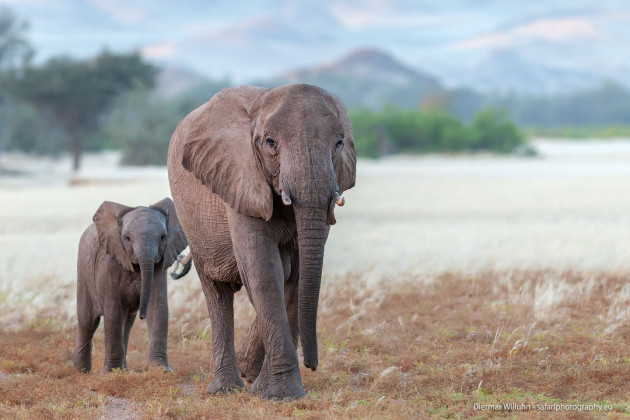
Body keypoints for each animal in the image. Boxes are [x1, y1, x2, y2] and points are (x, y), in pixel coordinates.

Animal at [72, 199, 188, 372]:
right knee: (88, 322)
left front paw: (162, 370)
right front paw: (111, 373)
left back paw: (124, 369)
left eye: (163, 237)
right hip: (83, 271)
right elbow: (113, 312)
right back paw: (80, 370)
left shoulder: (159, 266)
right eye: (127, 238)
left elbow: (158, 307)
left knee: (126, 324)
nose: (142, 315)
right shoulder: (110, 263)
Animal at [167, 83, 356, 400]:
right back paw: (226, 389)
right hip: (192, 222)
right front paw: (281, 395)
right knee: (217, 292)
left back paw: (247, 374)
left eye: (339, 143)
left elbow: (298, 275)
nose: (312, 364)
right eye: (270, 143)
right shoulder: (240, 178)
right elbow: (264, 272)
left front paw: (264, 388)